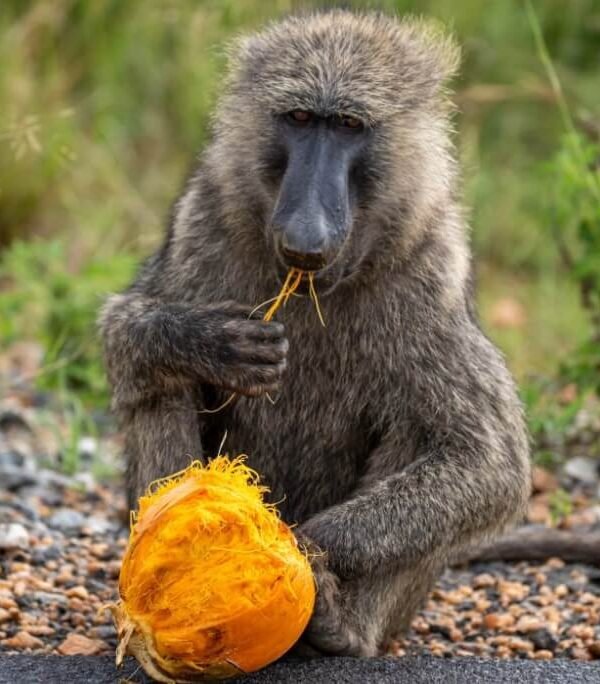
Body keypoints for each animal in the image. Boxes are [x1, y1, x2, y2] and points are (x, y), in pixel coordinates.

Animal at [99, 11, 531, 656]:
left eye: (349, 125)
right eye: (301, 119)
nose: (306, 236)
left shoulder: (434, 271)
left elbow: (491, 461)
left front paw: (297, 547)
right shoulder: (202, 220)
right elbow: (122, 329)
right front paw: (206, 342)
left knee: (420, 424)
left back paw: (339, 627)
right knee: (161, 382)